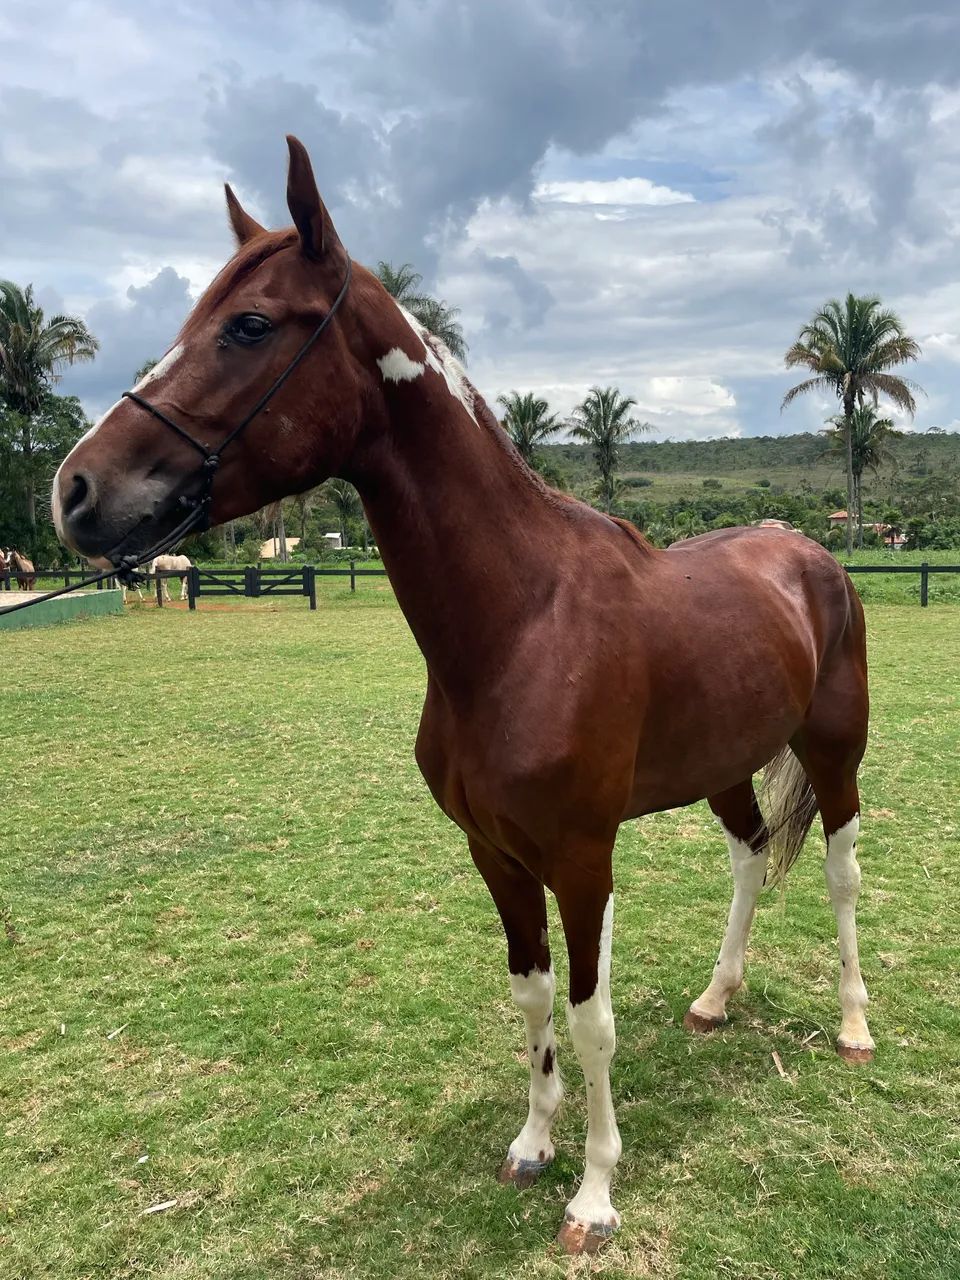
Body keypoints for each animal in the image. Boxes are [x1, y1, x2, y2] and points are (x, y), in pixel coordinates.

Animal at [51, 137, 873, 1255]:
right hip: (725, 765)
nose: (75, 490)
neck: (523, 623)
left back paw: (855, 1023)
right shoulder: (496, 852)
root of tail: (806, 551)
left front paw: (595, 1194)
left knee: (839, 873)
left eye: (249, 324)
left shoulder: (581, 858)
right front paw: (533, 1145)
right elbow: (531, 997)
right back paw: (714, 997)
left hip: (835, 755)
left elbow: (590, 1015)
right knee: (749, 855)